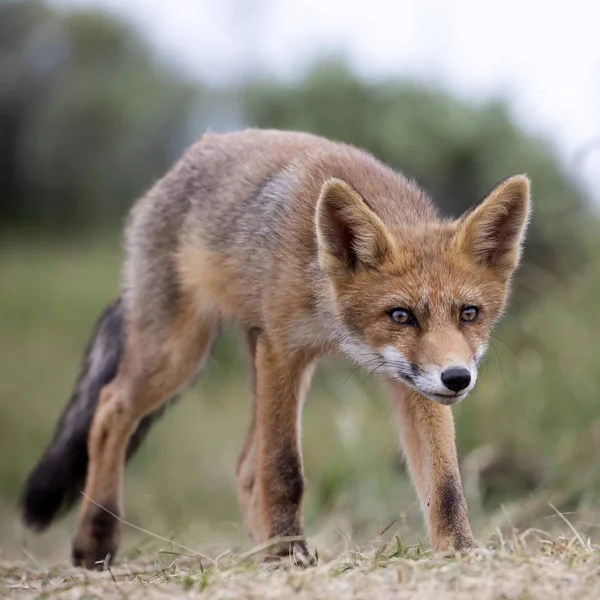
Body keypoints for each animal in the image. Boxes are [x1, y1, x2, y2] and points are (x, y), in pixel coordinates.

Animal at [22, 129, 528, 568]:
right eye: (401, 316)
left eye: (469, 313)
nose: (457, 378)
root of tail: (190, 154)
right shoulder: (285, 350)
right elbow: (285, 470)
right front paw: (289, 554)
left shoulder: (410, 383)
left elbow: (445, 484)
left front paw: (460, 550)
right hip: (179, 353)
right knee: (110, 410)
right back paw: (96, 539)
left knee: (246, 467)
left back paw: (258, 551)